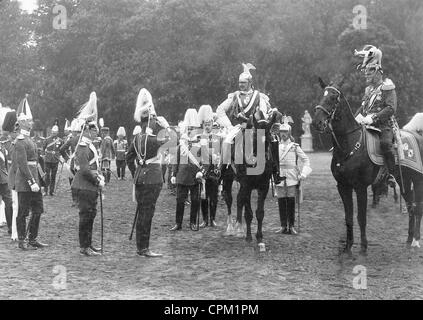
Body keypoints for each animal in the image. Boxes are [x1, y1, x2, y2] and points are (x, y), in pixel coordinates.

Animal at [225, 109, 282, 244]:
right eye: (255, 136)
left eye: (268, 139)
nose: (258, 162)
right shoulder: (247, 185)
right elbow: (248, 213)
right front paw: (248, 236)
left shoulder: (264, 186)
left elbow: (259, 212)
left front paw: (259, 236)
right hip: (227, 179)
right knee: (229, 199)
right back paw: (230, 228)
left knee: (239, 200)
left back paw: (239, 228)